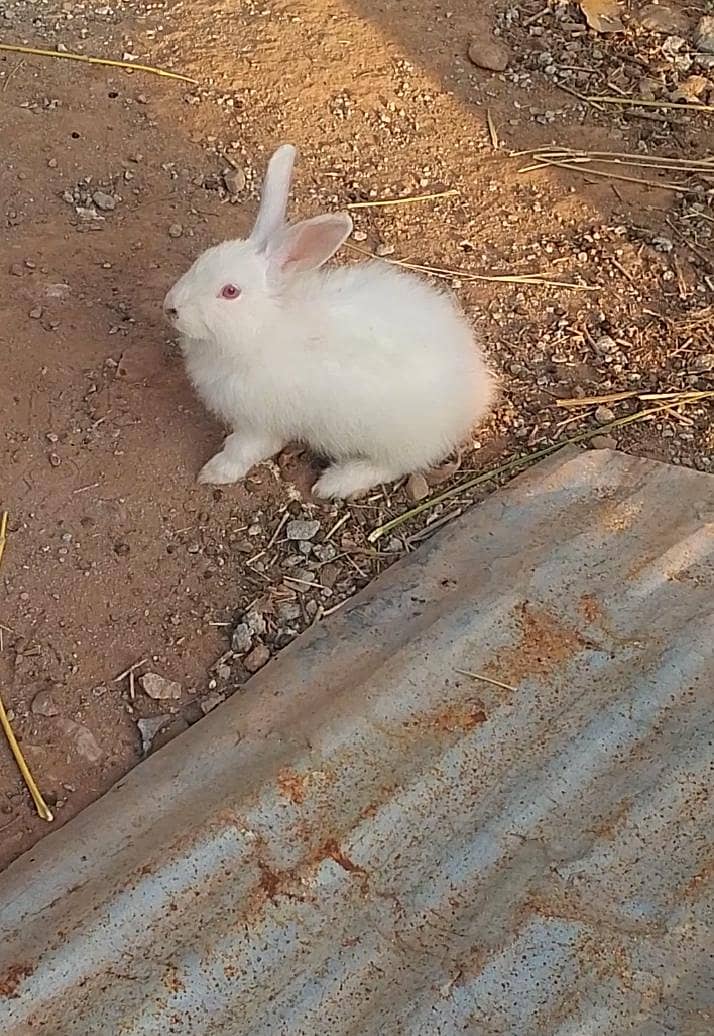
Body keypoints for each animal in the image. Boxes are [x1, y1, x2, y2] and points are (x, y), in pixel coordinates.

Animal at [163, 144, 496, 500]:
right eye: (201, 261)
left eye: (230, 291)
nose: (171, 307)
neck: (262, 327)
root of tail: (477, 396)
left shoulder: (260, 423)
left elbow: (244, 449)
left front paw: (214, 473)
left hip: (391, 440)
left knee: (393, 466)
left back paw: (335, 483)